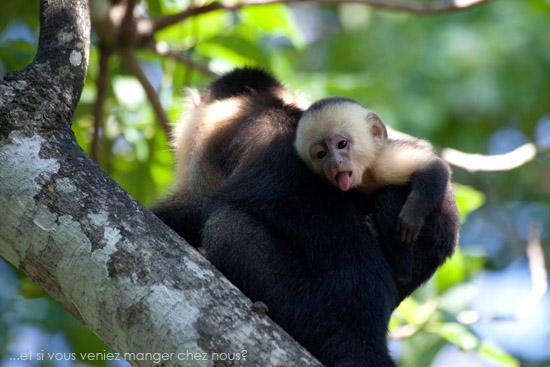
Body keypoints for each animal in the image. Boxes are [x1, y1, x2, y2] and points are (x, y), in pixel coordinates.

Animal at [298, 96, 452, 284]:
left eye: (342, 144)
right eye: (321, 154)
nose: (334, 163)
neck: (365, 174)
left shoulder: (385, 163)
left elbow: (434, 167)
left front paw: (412, 214)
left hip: (428, 245)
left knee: (387, 196)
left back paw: (401, 271)